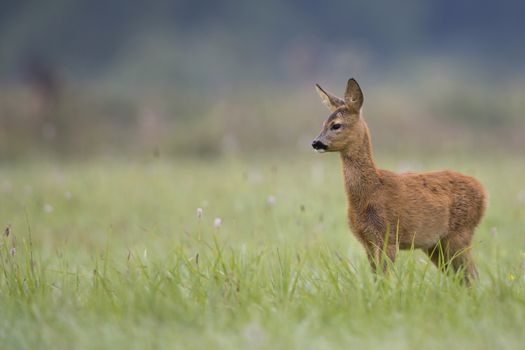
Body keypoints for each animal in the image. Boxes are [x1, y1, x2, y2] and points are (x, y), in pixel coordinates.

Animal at [312, 78, 488, 284]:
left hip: (461, 232)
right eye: (323, 123)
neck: (370, 192)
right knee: (462, 277)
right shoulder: (367, 241)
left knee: (472, 275)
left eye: (336, 125)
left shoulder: (387, 236)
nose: (315, 143)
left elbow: (384, 279)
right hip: (435, 244)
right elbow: (376, 278)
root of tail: (483, 191)